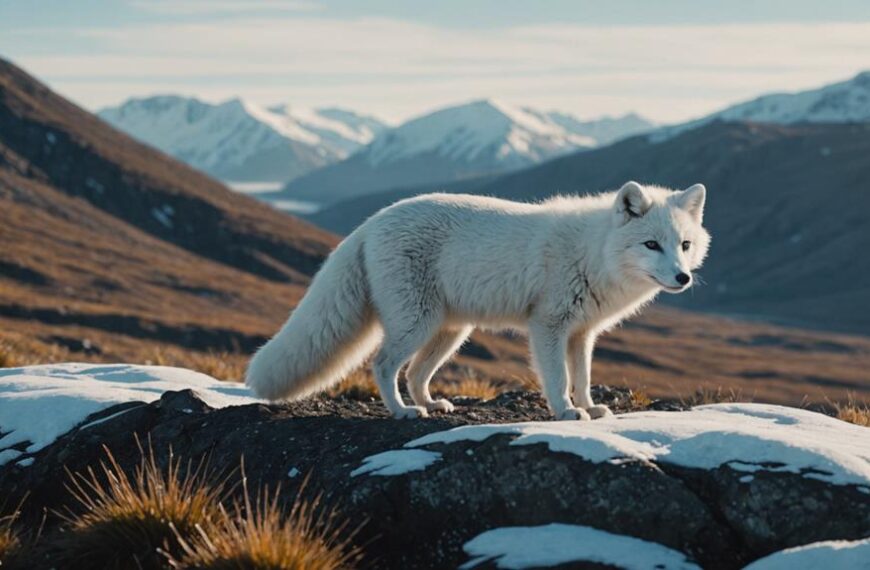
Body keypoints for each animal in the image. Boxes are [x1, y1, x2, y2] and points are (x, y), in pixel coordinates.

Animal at [247, 181, 710, 420]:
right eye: (651, 244)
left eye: (684, 245)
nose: (682, 278)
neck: (594, 252)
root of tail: (369, 223)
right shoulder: (548, 325)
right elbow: (558, 379)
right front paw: (565, 412)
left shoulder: (582, 334)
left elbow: (582, 377)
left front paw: (591, 408)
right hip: (416, 324)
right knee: (383, 365)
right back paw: (403, 411)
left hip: (450, 332)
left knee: (415, 373)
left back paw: (431, 403)